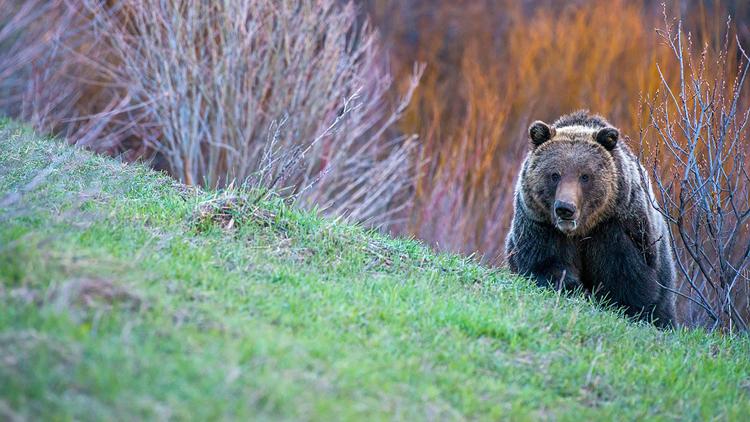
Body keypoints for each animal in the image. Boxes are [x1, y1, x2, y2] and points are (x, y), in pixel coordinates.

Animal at [508, 110, 680, 328]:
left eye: (585, 176)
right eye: (555, 174)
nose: (565, 208)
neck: (581, 230)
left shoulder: (616, 227)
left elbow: (628, 278)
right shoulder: (540, 224)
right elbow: (546, 265)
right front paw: (576, 289)